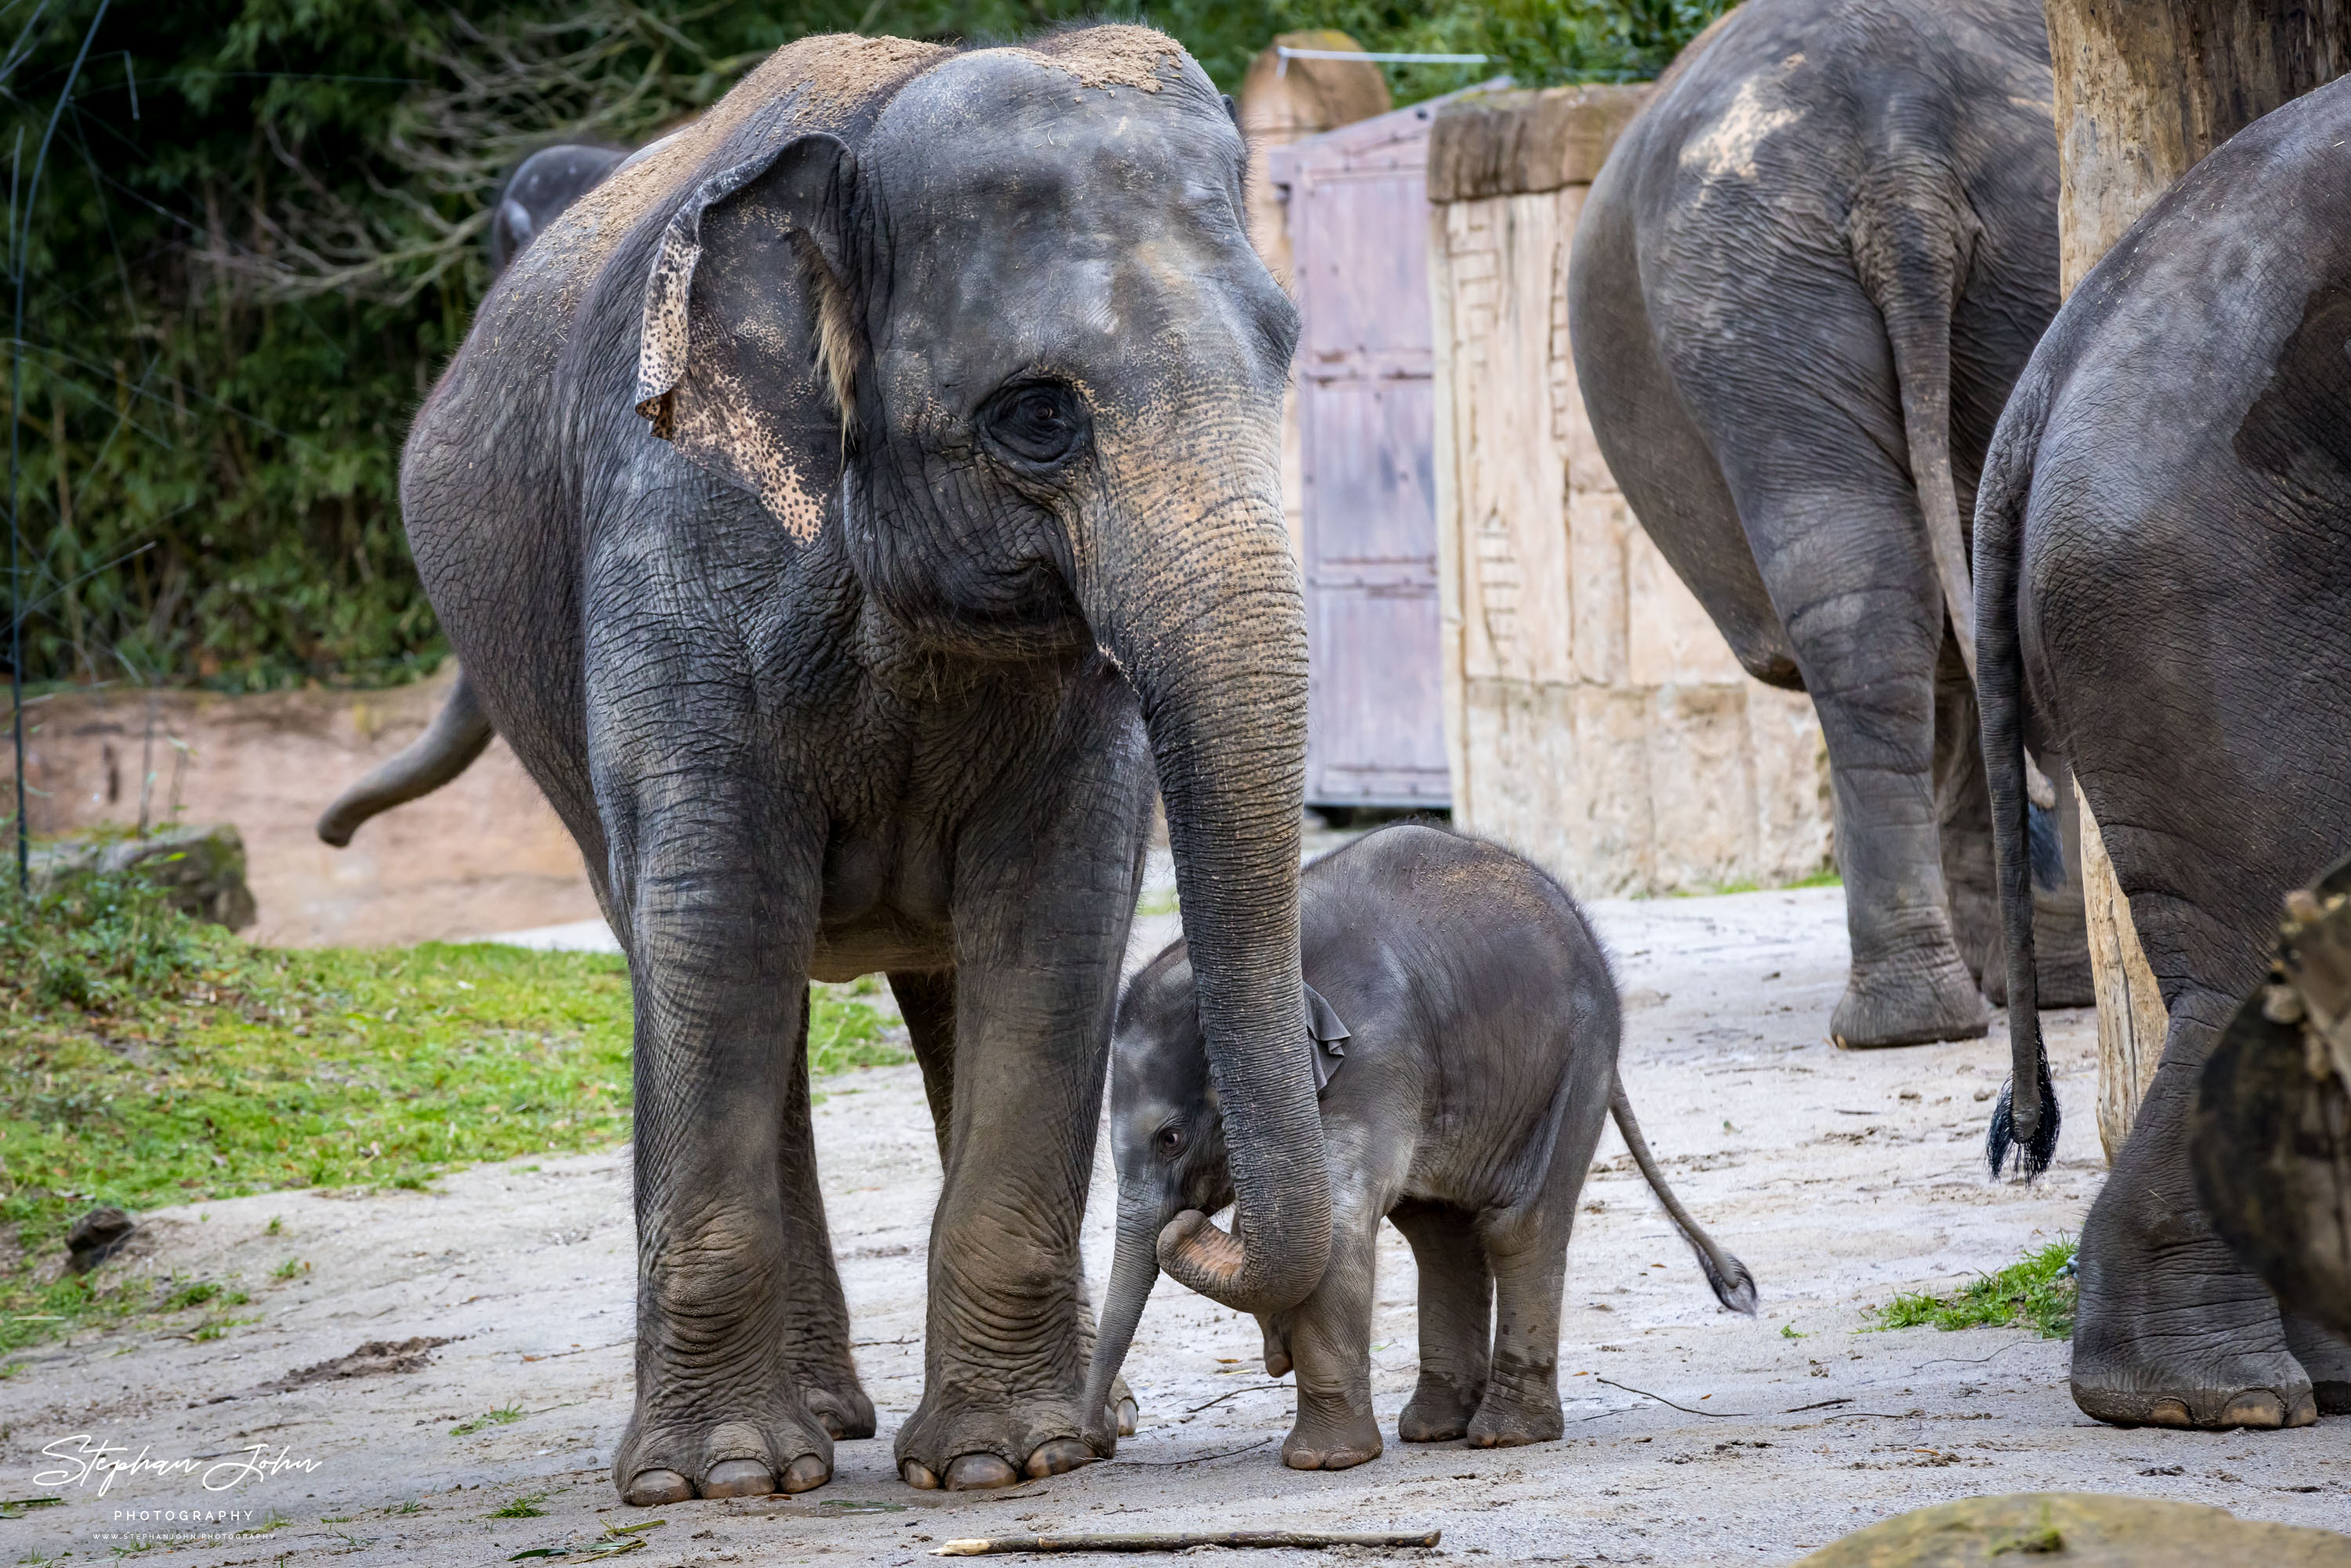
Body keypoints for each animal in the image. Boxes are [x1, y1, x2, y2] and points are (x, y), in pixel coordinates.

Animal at [395, 31, 1335, 1505]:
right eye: (1037, 417)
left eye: (1285, 352)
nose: (1202, 1203)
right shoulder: (673, 535)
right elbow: (718, 917)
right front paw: (713, 1482)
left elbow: (1056, 911)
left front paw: (1010, 1461)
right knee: (714, 958)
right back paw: (809, 1430)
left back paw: (1066, 1416)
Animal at [1077, 823, 1749, 1476]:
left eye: (1170, 1138)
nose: (1098, 1438)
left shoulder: (1374, 1056)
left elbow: (1339, 1224)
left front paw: (1323, 1462)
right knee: (1441, 1236)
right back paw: (1434, 1430)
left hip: (1578, 1059)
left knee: (1521, 1226)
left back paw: (1504, 1435)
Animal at [1570, 2, 2088, 1053]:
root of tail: (1902, 160)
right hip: (1766, 278)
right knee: (1890, 585)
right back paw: (1945, 1015)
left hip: (1756, 272)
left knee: (1872, 590)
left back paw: (1934, 1015)